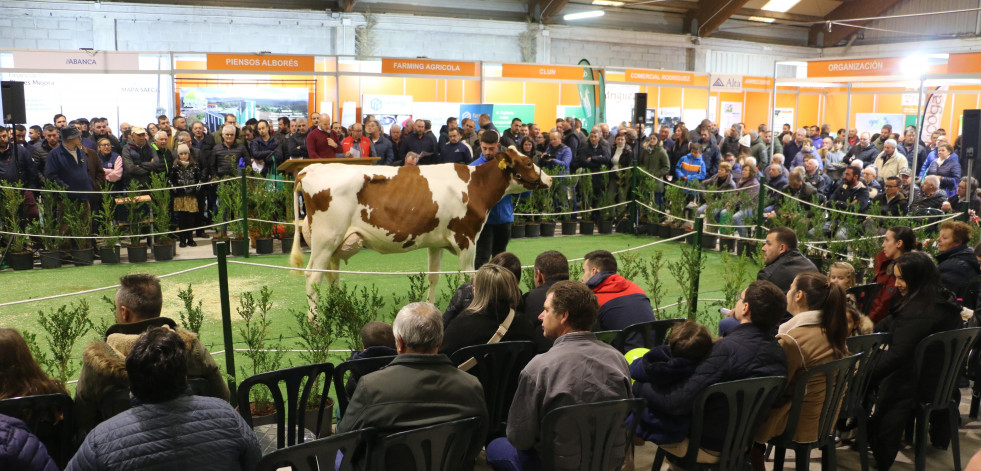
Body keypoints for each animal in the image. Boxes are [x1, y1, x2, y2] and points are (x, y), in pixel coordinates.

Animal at [290, 148, 552, 318]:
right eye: (528, 162)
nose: (549, 179)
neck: (474, 185)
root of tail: (309, 170)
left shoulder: (435, 242)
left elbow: (433, 276)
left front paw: (430, 307)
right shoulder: (467, 238)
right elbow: (468, 277)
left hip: (334, 242)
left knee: (331, 275)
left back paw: (338, 311)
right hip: (325, 238)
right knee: (313, 277)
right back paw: (316, 324)